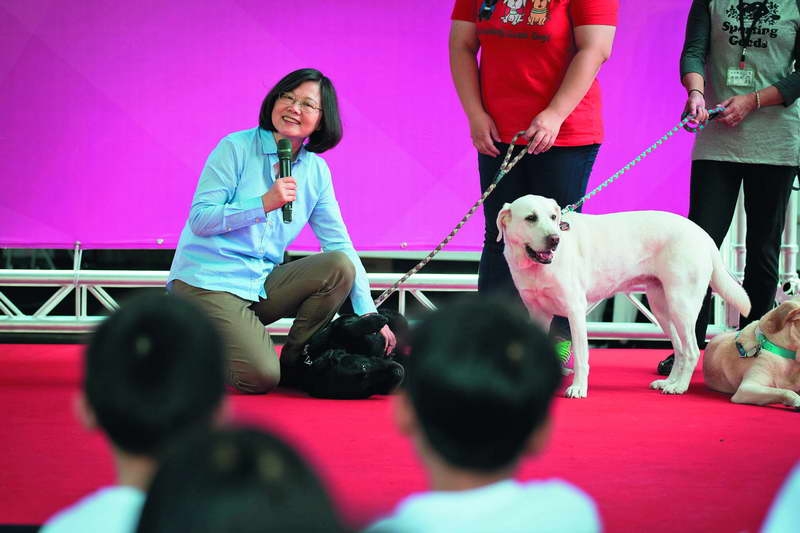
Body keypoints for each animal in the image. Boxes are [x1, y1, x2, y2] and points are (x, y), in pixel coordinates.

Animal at [496, 193, 752, 396]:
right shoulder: (537, 314)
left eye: (552, 218)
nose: (555, 239)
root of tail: (702, 233)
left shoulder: (575, 311)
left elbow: (581, 357)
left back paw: (679, 387)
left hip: (682, 305)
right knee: (679, 349)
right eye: (531, 218)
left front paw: (578, 388)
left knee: (691, 351)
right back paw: (668, 382)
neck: (535, 266)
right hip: (662, 308)